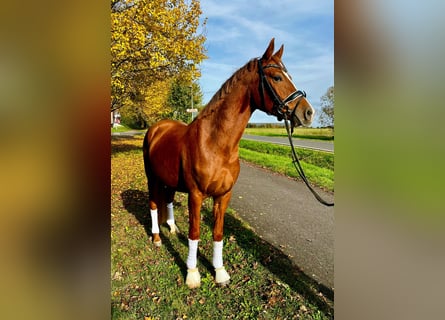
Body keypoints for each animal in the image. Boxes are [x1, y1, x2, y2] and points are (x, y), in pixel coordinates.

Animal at [144, 38, 314, 288]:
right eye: (276, 77)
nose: (308, 113)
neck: (215, 143)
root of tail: (157, 128)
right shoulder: (196, 195)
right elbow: (195, 233)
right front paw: (192, 274)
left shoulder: (224, 195)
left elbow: (217, 233)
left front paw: (220, 271)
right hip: (152, 178)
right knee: (154, 204)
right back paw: (157, 238)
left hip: (169, 181)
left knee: (168, 200)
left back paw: (173, 228)